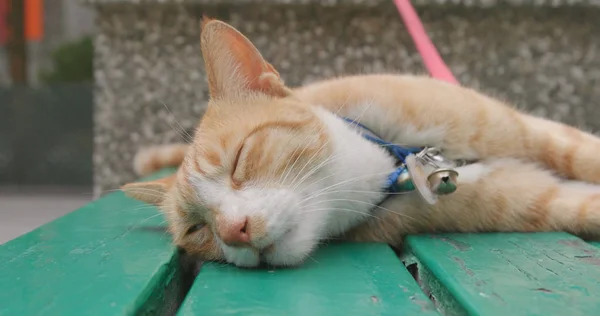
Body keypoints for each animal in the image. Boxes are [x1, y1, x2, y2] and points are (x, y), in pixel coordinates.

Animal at [120, 18, 600, 268]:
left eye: (240, 159)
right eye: (196, 230)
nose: (231, 231)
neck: (397, 160)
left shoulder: (534, 132)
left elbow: (583, 155)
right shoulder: (534, 199)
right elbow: (582, 206)